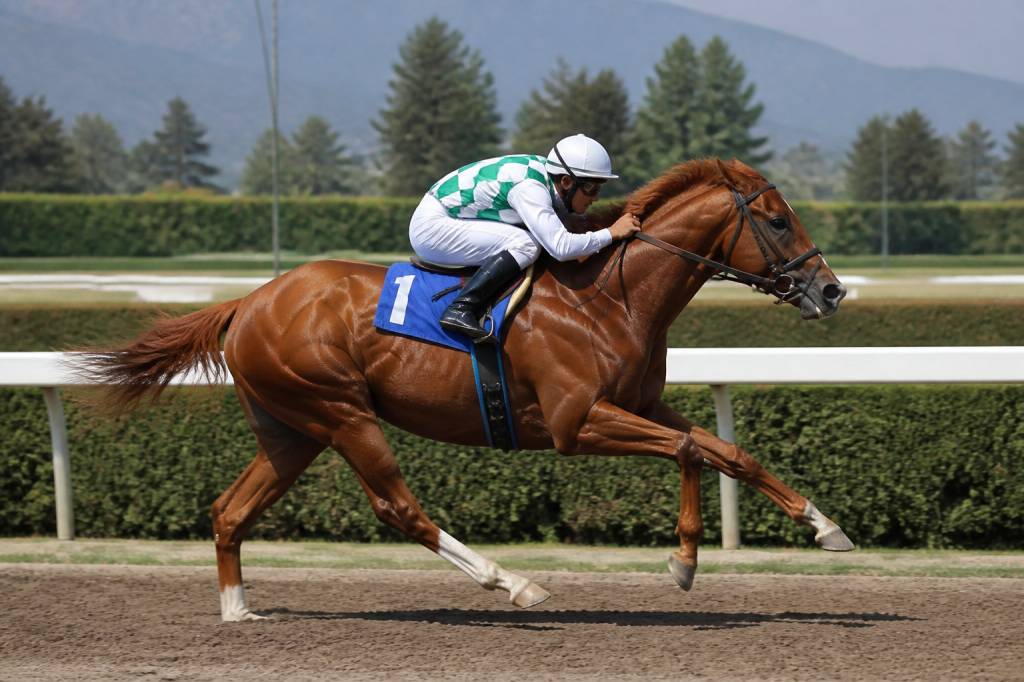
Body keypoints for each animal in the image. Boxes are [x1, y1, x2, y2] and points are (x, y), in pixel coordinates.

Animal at [82, 158, 853, 622]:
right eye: (778, 219)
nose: (831, 290)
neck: (611, 297)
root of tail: (250, 301)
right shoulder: (577, 423)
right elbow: (690, 454)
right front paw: (684, 561)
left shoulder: (638, 404)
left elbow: (727, 452)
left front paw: (824, 525)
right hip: (341, 412)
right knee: (398, 507)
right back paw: (513, 582)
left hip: (291, 428)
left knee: (230, 511)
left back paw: (238, 609)